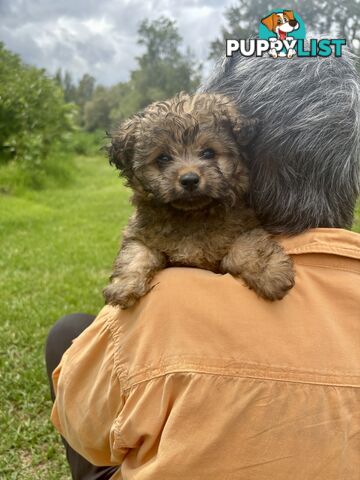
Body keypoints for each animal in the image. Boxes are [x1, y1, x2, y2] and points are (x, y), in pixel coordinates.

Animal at [102, 92, 294, 310]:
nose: (189, 179)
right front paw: (123, 286)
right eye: (163, 158)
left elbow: (249, 246)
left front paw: (271, 273)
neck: (192, 215)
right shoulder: (140, 233)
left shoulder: (245, 226)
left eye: (208, 152)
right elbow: (136, 253)